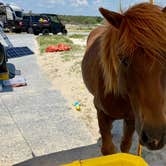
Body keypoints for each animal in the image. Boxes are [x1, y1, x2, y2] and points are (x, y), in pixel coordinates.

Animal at [81, 2, 166, 155]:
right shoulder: (101, 113)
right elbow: (108, 149)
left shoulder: (132, 118)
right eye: (123, 59)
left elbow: (125, 145)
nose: (155, 137)